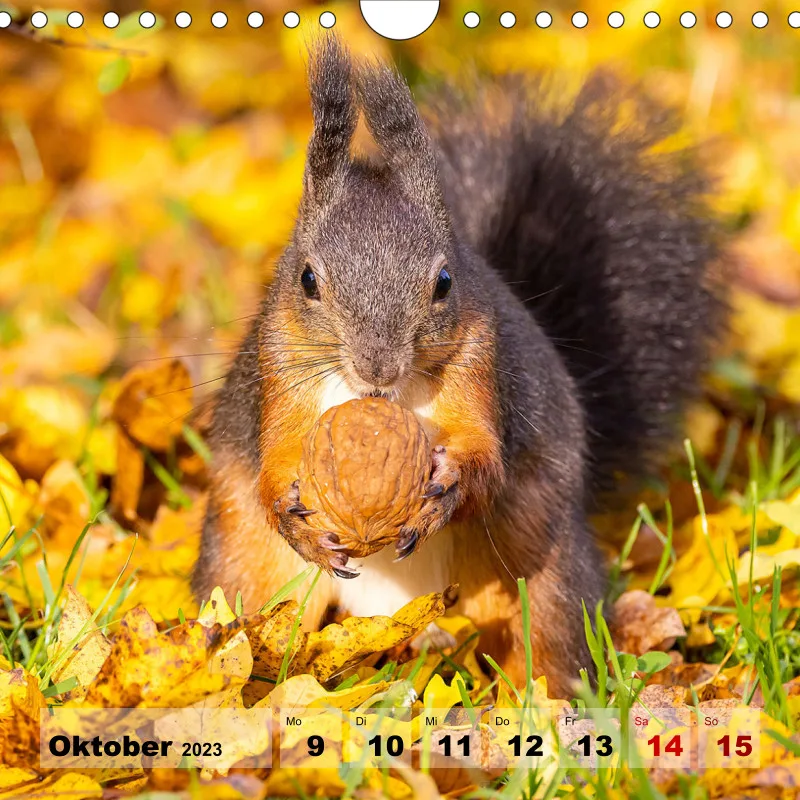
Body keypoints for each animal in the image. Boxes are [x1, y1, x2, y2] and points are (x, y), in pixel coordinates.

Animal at [191, 36, 726, 698]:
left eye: (445, 281)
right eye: (307, 279)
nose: (378, 369)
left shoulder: (481, 362)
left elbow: (485, 457)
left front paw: (446, 487)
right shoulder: (280, 367)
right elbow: (277, 460)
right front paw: (294, 517)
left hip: (542, 573)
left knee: (547, 644)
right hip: (246, 566)